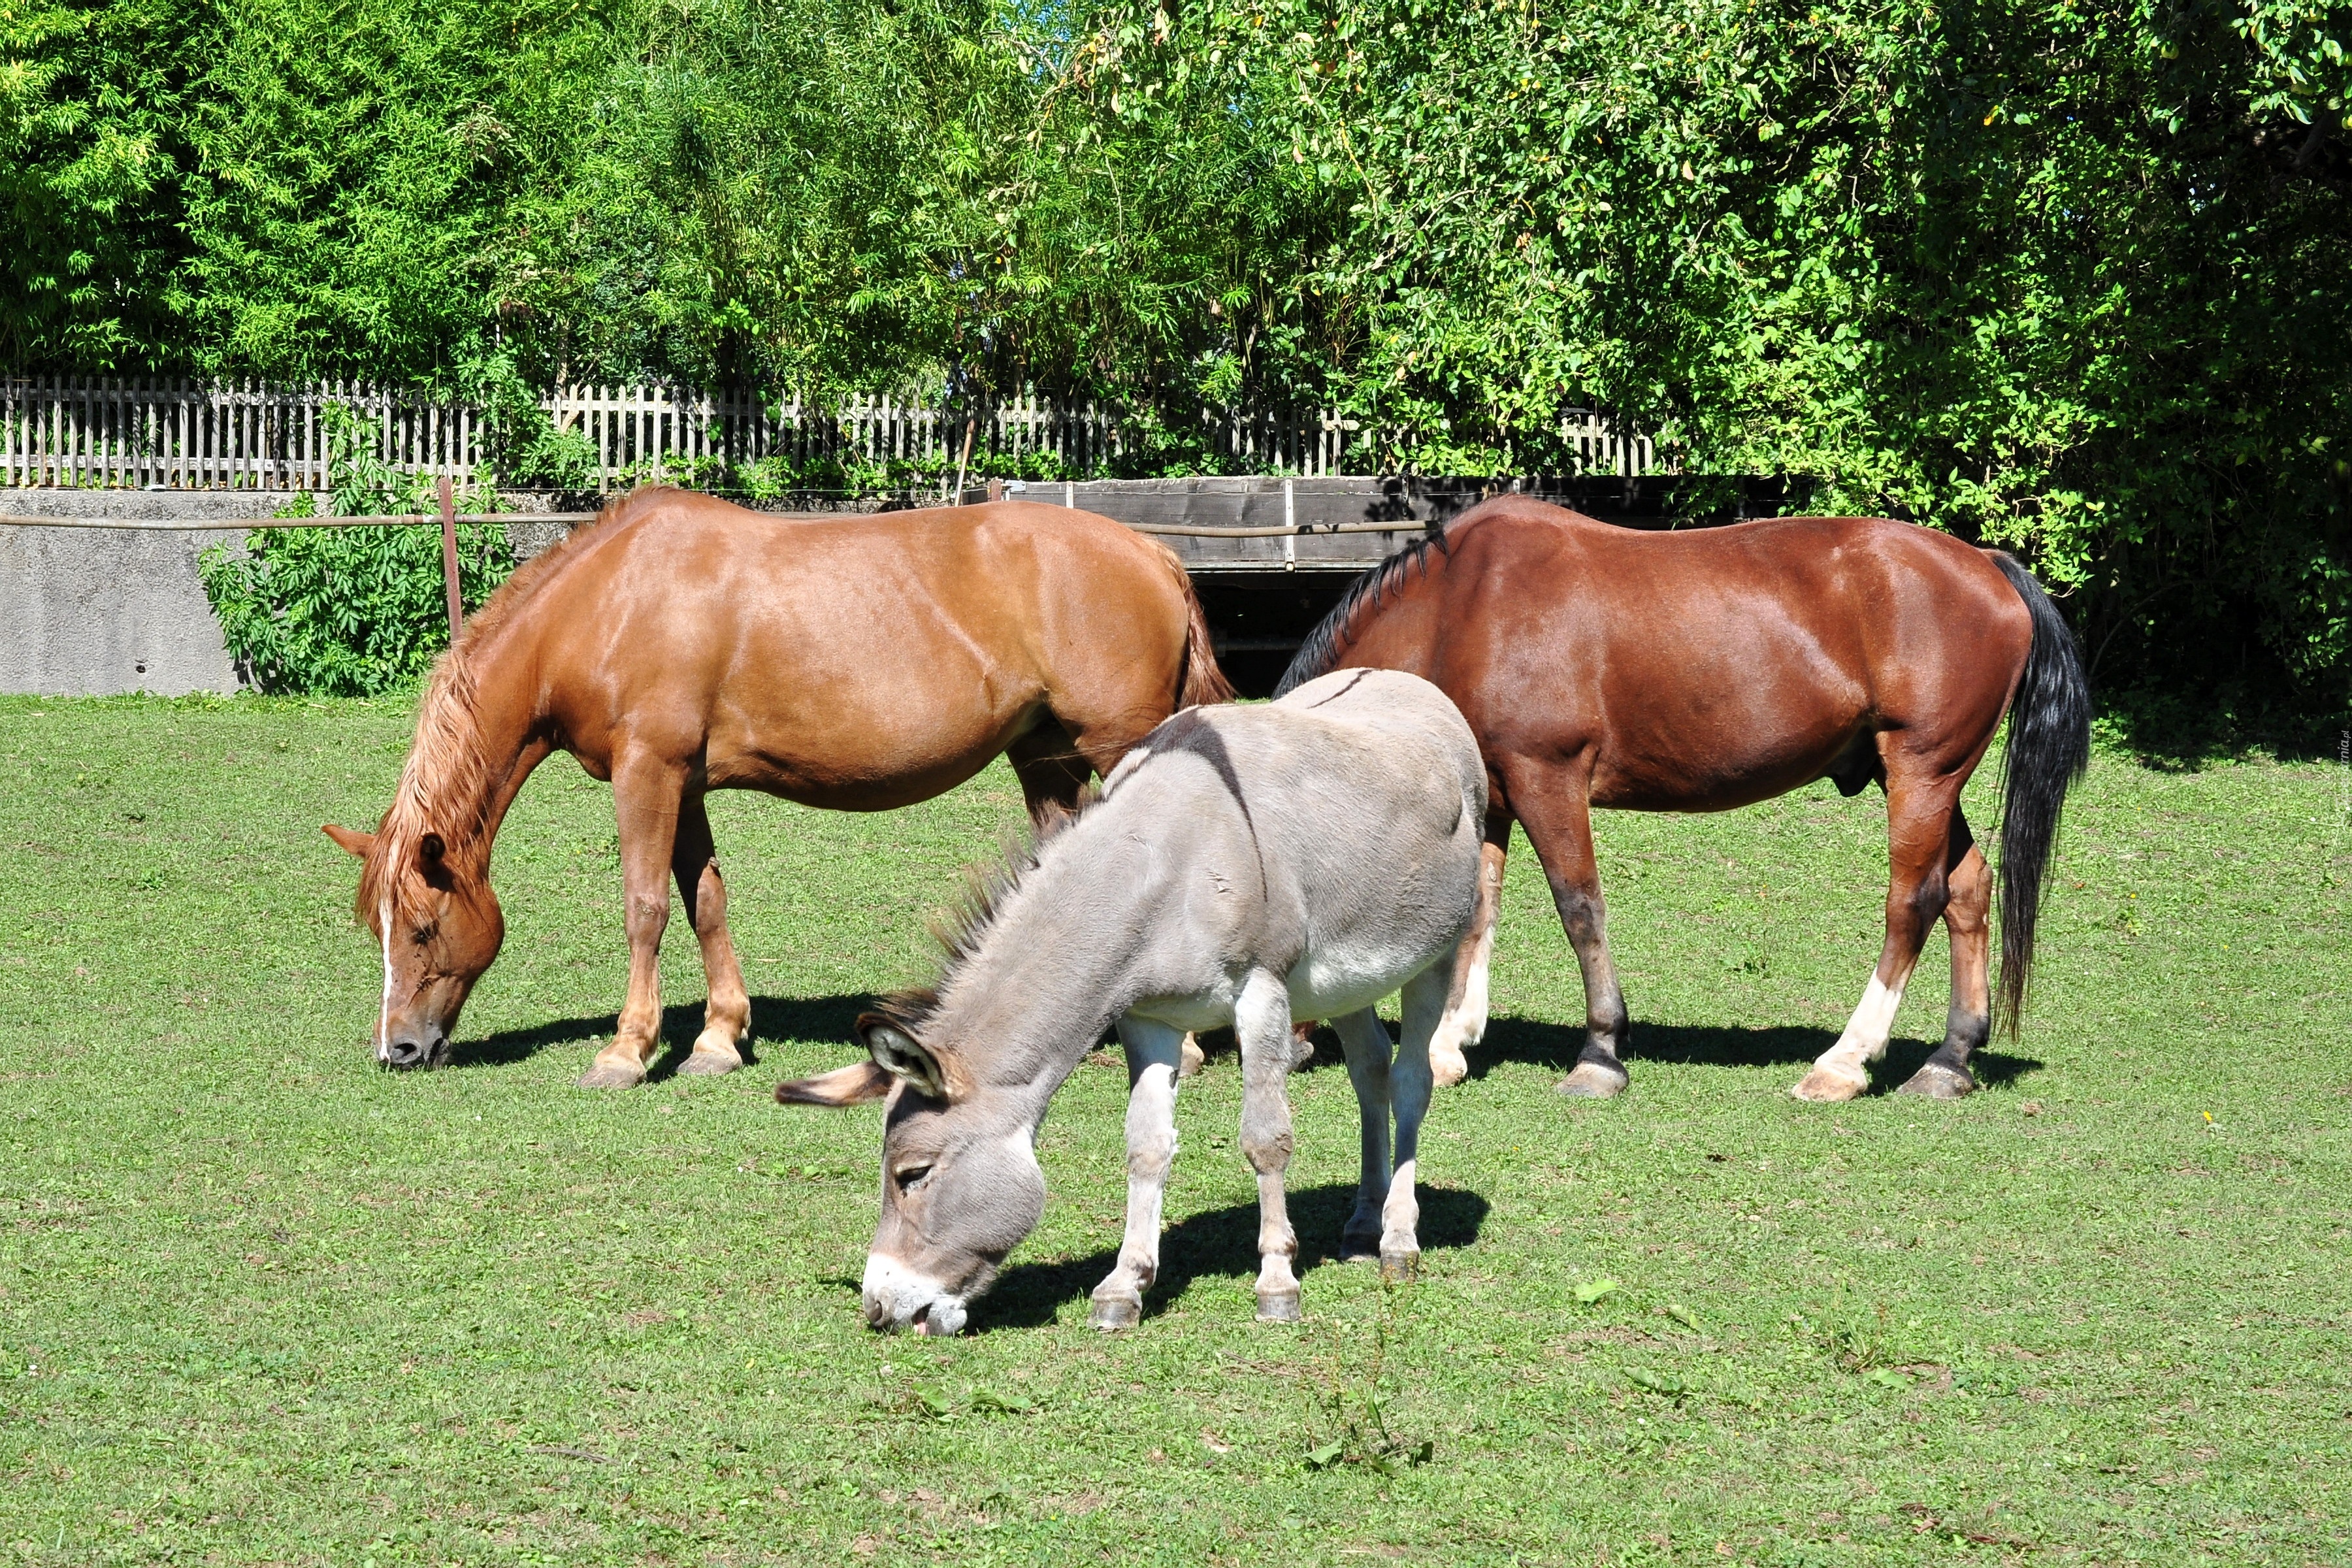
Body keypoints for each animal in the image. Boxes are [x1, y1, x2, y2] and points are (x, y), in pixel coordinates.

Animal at [327, 491, 1232, 1090]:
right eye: (380, 928)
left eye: (421, 928)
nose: (396, 1049)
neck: (611, 602)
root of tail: (1155, 555)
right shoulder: (684, 784)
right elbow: (704, 902)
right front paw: (718, 1039)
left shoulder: (647, 772)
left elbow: (645, 908)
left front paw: (626, 1051)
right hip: (1045, 760)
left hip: (1118, 749)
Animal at [781, 672, 1477, 1335]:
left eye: (912, 1174)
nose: (877, 1310)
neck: (1172, 861)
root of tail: (1406, 680)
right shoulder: (1149, 1019)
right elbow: (1145, 1146)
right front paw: (1124, 1287)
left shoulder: (1262, 993)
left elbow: (1266, 1139)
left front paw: (1277, 1284)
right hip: (1346, 982)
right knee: (1370, 1072)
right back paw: (1361, 1227)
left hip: (1436, 955)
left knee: (1411, 1081)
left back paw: (1398, 1240)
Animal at [1288, 500, 2098, 1105]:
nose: (1290, 1048)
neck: (1462, 606)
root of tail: (1985, 564)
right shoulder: (1495, 795)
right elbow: (1479, 911)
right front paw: (1450, 1043)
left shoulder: (1548, 779)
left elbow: (1579, 908)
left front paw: (1601, 1052)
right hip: (1930, 779)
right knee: (1968, 890)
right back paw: (1949, 1060)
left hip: (1922, 773)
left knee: (1914, 901)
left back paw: (1845, 1060)